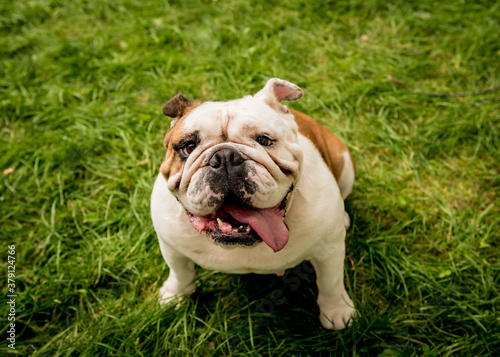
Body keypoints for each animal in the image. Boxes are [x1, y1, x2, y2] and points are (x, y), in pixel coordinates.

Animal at [151, 77, 356, 328]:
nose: (225, 157)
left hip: (344, 164)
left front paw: (337, 312)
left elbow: (331, 283)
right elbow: (179, 273)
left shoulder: (330, 249)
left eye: (264, 140)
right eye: (188, 147)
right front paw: (175, 296)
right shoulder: (171, 246)